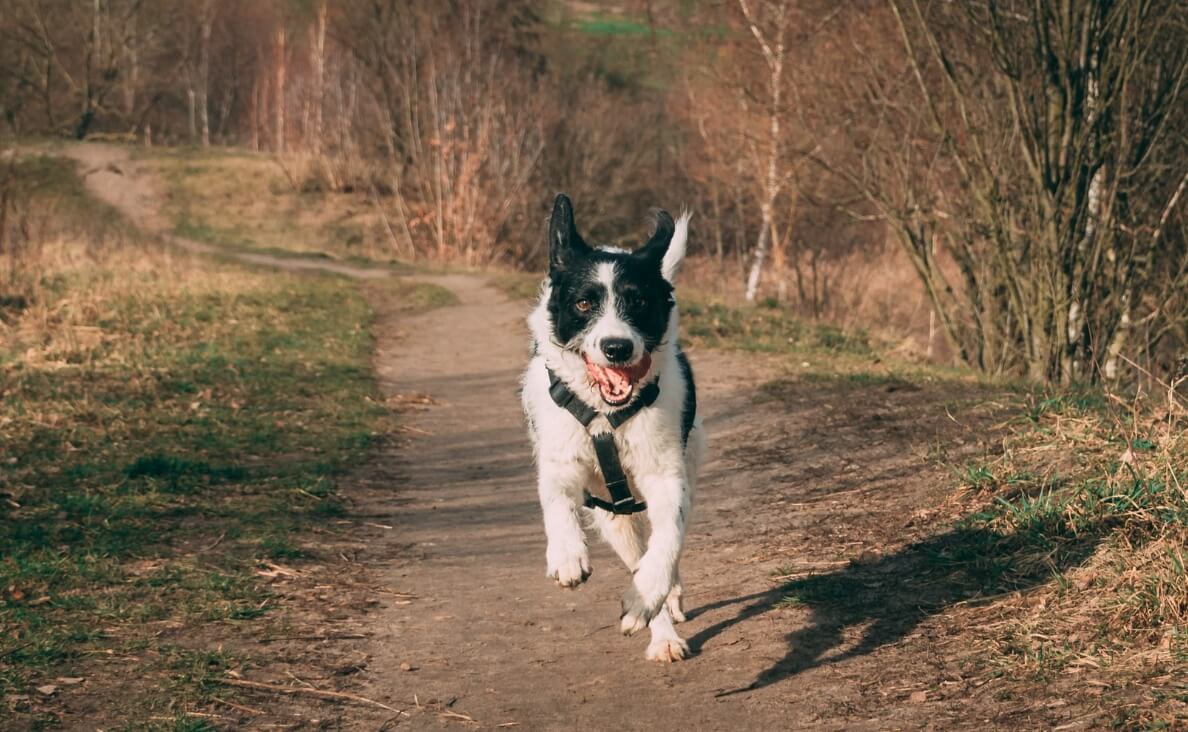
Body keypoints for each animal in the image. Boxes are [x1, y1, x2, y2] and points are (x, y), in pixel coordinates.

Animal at [522, 194, 703, 665]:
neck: (606, 415)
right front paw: (567, 553)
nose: (617, 347)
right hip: (612, 515)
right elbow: (556, 501)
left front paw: (649, 593)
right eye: (584, 304)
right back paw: (663, 634)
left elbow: (667, 540)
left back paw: (662, 609)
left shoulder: (667, 475)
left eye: (637, 302)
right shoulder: (562, 462)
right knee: (632, 549)